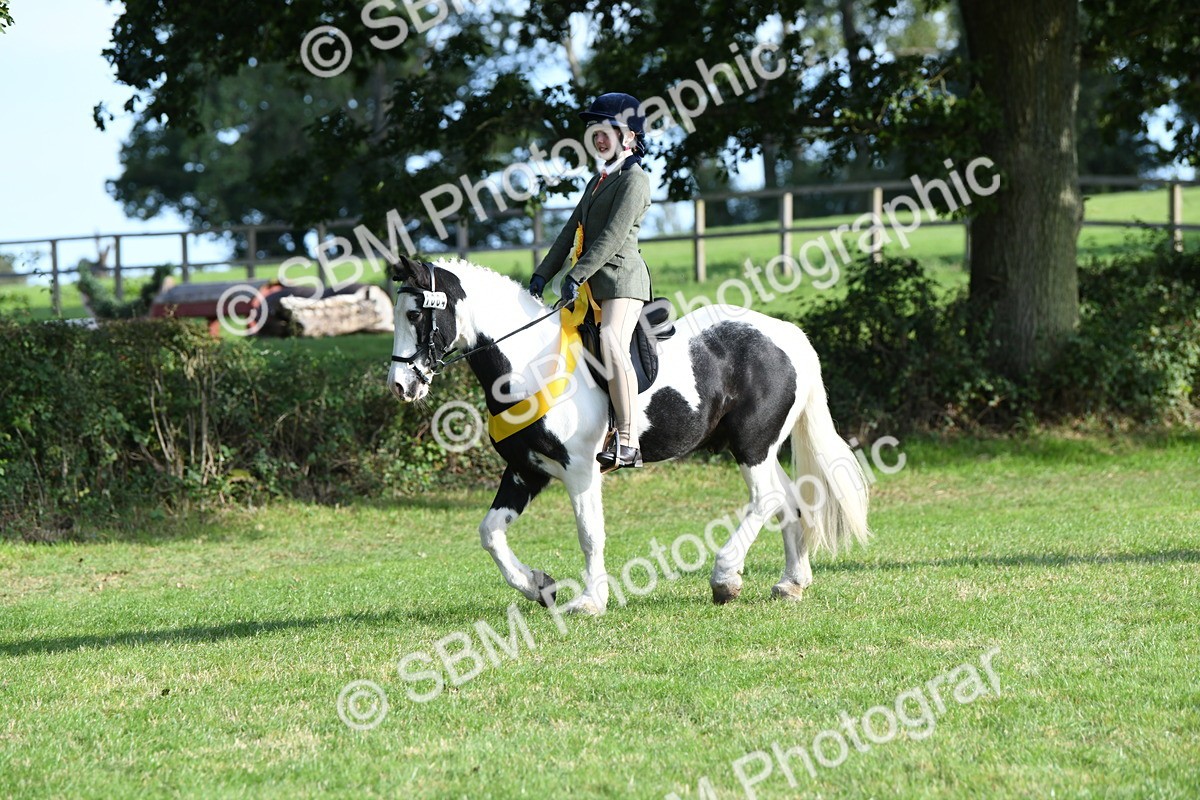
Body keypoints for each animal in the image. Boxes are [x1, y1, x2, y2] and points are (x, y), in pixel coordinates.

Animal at [387, 254, 869, 615]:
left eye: (414, 313)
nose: (401, 386)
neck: (529, 364)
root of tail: (789, 335)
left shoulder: (581, 471)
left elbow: (589, 533)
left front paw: (589, 601)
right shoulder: (527, 470)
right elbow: (490, 532)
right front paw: (539, 586)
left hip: (753, 444)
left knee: (766, 499)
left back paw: (725, 578)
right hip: (759, 447)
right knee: (790, 502)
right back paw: (791, 583)